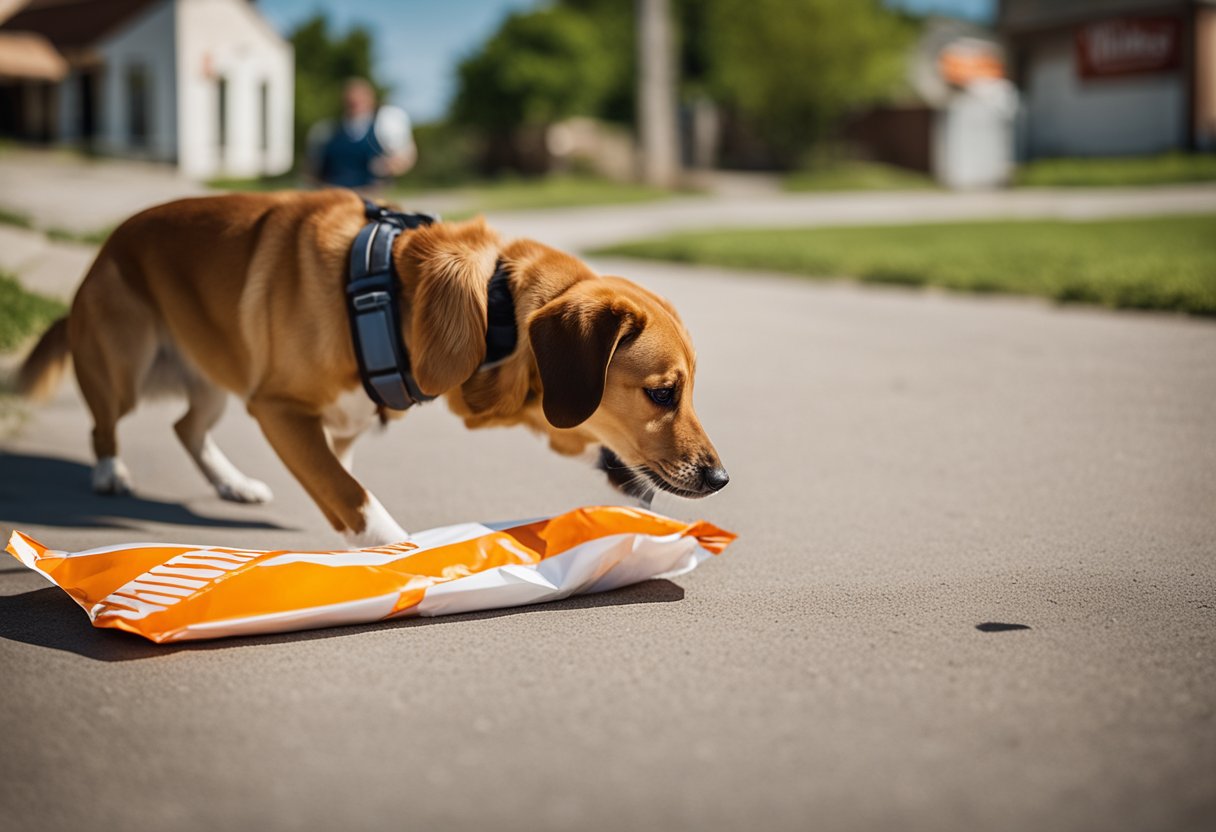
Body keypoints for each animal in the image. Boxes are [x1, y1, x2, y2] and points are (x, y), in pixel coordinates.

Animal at [19, 188, 724, 544]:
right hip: (126, 365)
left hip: (214, 376)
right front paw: (397, 555)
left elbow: (342, 479)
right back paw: (110, 471)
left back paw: (232, 485)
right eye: (664, 394)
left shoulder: (343, 422)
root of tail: (107, 244)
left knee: (186, 428)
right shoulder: (277, 408)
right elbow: (353, 496)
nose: (720, 479)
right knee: (107, 423)